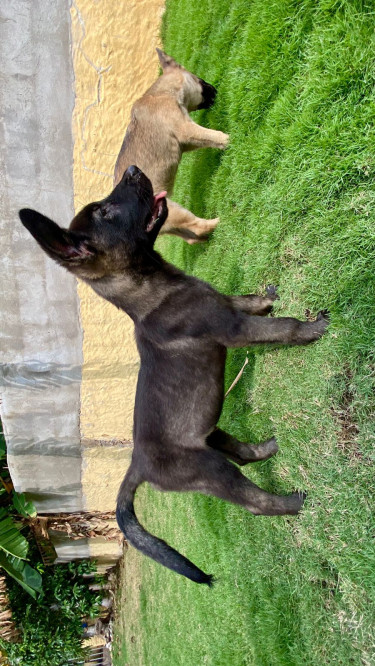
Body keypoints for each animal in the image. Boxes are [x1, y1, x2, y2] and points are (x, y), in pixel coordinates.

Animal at [18, 165, 328, 580]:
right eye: (105, 212)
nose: (133, 170)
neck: (153, 289)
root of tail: (138, 466)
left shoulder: (226, 304)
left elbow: (247, 300)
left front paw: (268, 297)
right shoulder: (233, 329)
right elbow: (283, 327)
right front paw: (311, 329)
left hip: (209, 437)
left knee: (244, 454)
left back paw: (270, 448)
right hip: (209, 469)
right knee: (254, 501)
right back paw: (298, 502)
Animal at [114, 49, 229, 243]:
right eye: (199, 79)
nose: (215, 89)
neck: (163, 93)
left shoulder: (186, 141)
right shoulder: (187, 130)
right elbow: (214, 136)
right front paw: (229, 140)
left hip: (169, 220)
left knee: (192, 237)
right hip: (173, 210)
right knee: (196, 227)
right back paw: (219, 221)